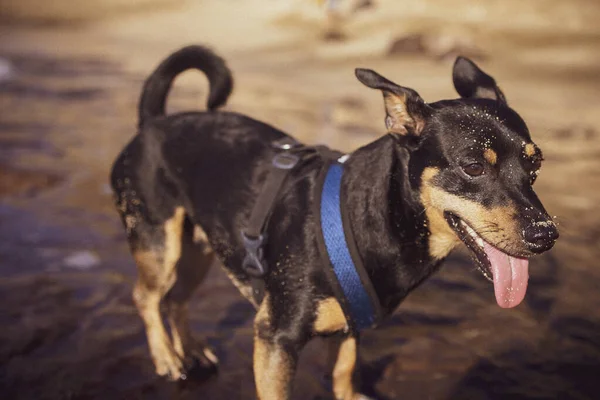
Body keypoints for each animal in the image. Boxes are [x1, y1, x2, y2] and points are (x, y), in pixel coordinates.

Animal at [111, 46, 556, 400]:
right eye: (473, 167)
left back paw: (189, 349)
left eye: (535, 165)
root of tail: (152, 123)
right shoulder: (275, 337)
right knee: (147, 297)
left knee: (177, 299)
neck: (377, 216)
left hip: (199, 249)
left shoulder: (348, 329)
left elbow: (343, 372)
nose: (546, 234)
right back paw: (168, 358)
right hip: (159, 243)